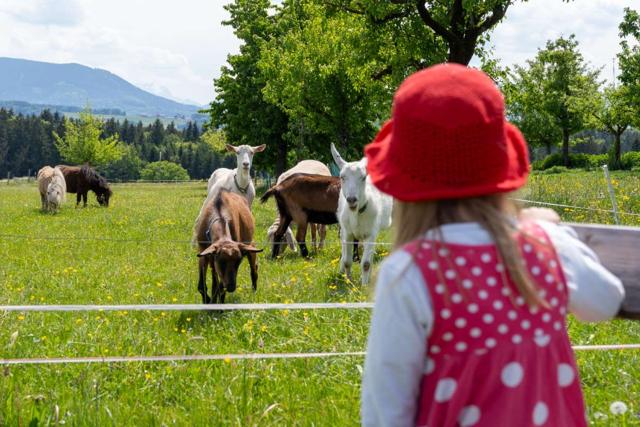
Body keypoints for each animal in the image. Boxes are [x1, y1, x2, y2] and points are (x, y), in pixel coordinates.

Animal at [331, 144, 393, 284]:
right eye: (342, 177)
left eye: (363, 177)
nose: (352, 199)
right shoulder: (347, 233)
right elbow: (347, 261)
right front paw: (348, 281)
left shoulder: (370, 233)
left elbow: (366, 263)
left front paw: (364, 285)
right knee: (343, 251)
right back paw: (341, 272)